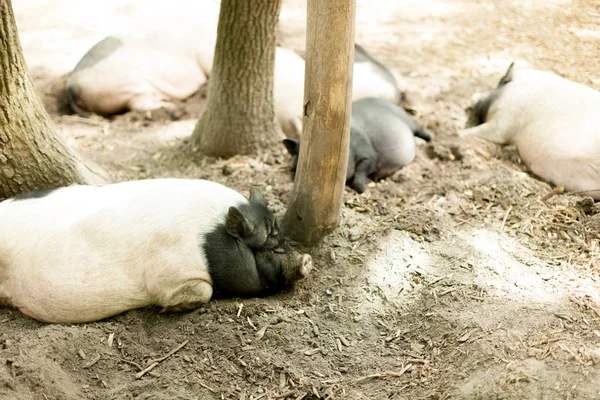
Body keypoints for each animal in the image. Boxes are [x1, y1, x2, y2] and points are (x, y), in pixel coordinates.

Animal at [0, 180, 312, 324]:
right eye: (268, 246)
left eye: (282, 238)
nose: (306, 259)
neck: (210, 241)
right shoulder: (171, 274)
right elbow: (202, 291)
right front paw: (168, 309)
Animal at [284, 97, 428, 194]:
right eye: (297, 155)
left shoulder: (369, 156)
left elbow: (360, 173)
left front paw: (365, 190)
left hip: (408, 120)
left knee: (418, 128)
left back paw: (427, 139)